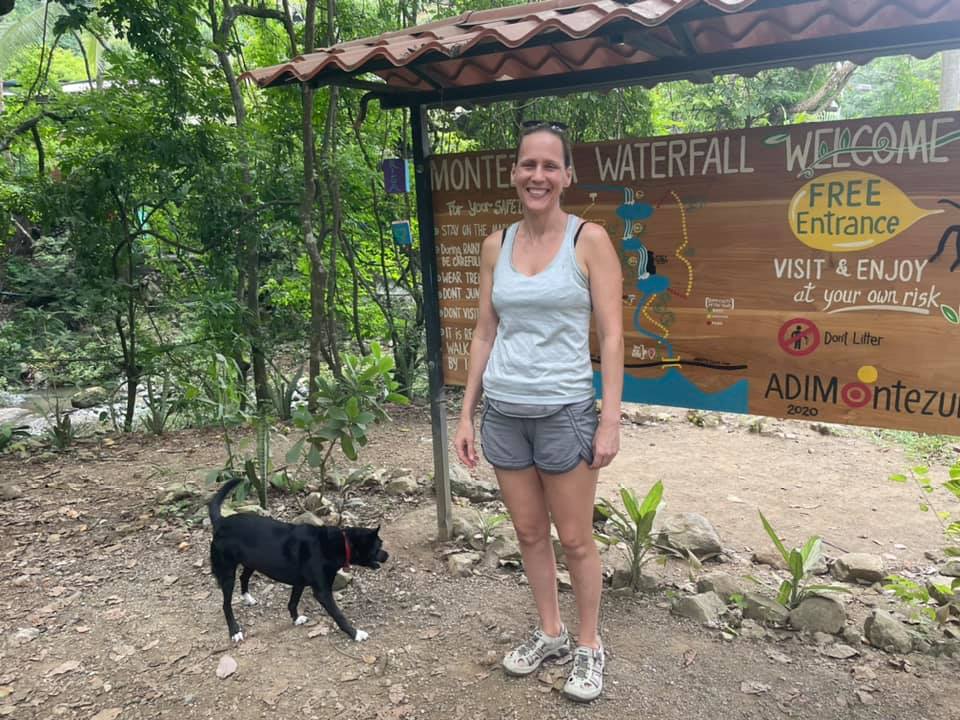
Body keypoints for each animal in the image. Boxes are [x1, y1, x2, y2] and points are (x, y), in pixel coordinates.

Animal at [207, 477, 388, 643]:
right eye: (378, 546)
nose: (387, 555)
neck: (338, 543)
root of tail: (221, 521)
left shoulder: (299, 582)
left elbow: (292, 602)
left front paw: (295, 618)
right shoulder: (322, 593)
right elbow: (339, 615)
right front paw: (355, 633)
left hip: (251, 562)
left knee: (243, 577)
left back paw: (248, 598)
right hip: (227, 573)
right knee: (226, 605)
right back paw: (234, 631)